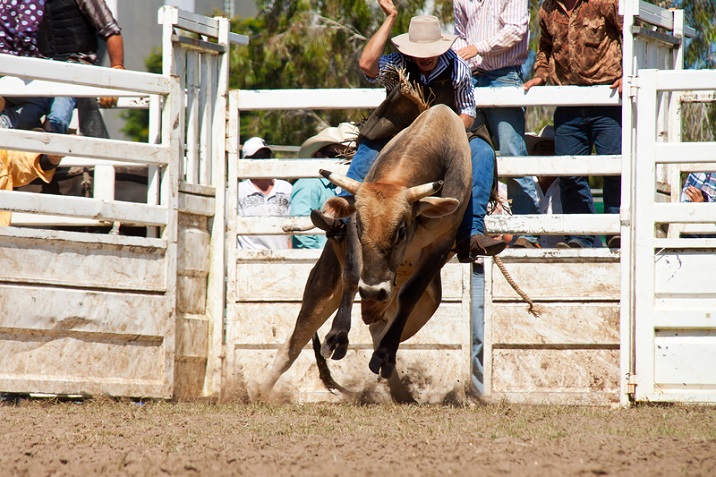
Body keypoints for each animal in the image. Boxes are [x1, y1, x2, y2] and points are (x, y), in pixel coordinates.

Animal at [259, 104, 472, 398]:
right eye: (361, 224)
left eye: (401, 229)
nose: (372, 291)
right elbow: (351, 275)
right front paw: (338, 337)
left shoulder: (440, 248)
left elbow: (409, 296)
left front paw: (384, 357)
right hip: (321, 289)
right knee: (293, 343)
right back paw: (256, 391)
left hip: (423, 309)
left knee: (381, 330)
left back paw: (399, 390)